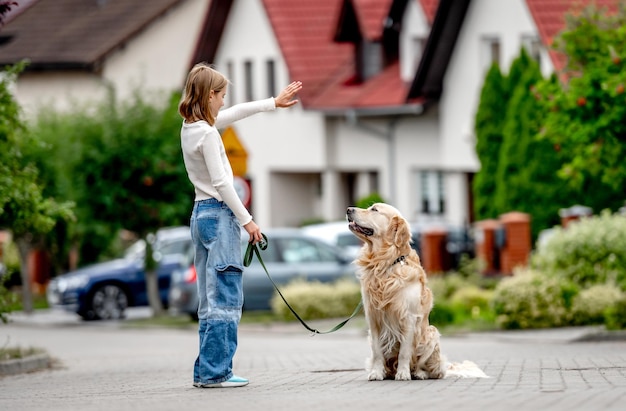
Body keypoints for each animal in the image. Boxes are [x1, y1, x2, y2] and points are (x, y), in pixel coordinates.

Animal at [346, 204, 488, 382]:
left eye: (374, 210)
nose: (348, 209)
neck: (385, 264)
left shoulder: (409, 317)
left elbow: (404, 352)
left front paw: (403, 373)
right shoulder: (373, 318)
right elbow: (378, 352)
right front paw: (377, 373)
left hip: (432, 334)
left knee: (431, 370)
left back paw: (418, 373)